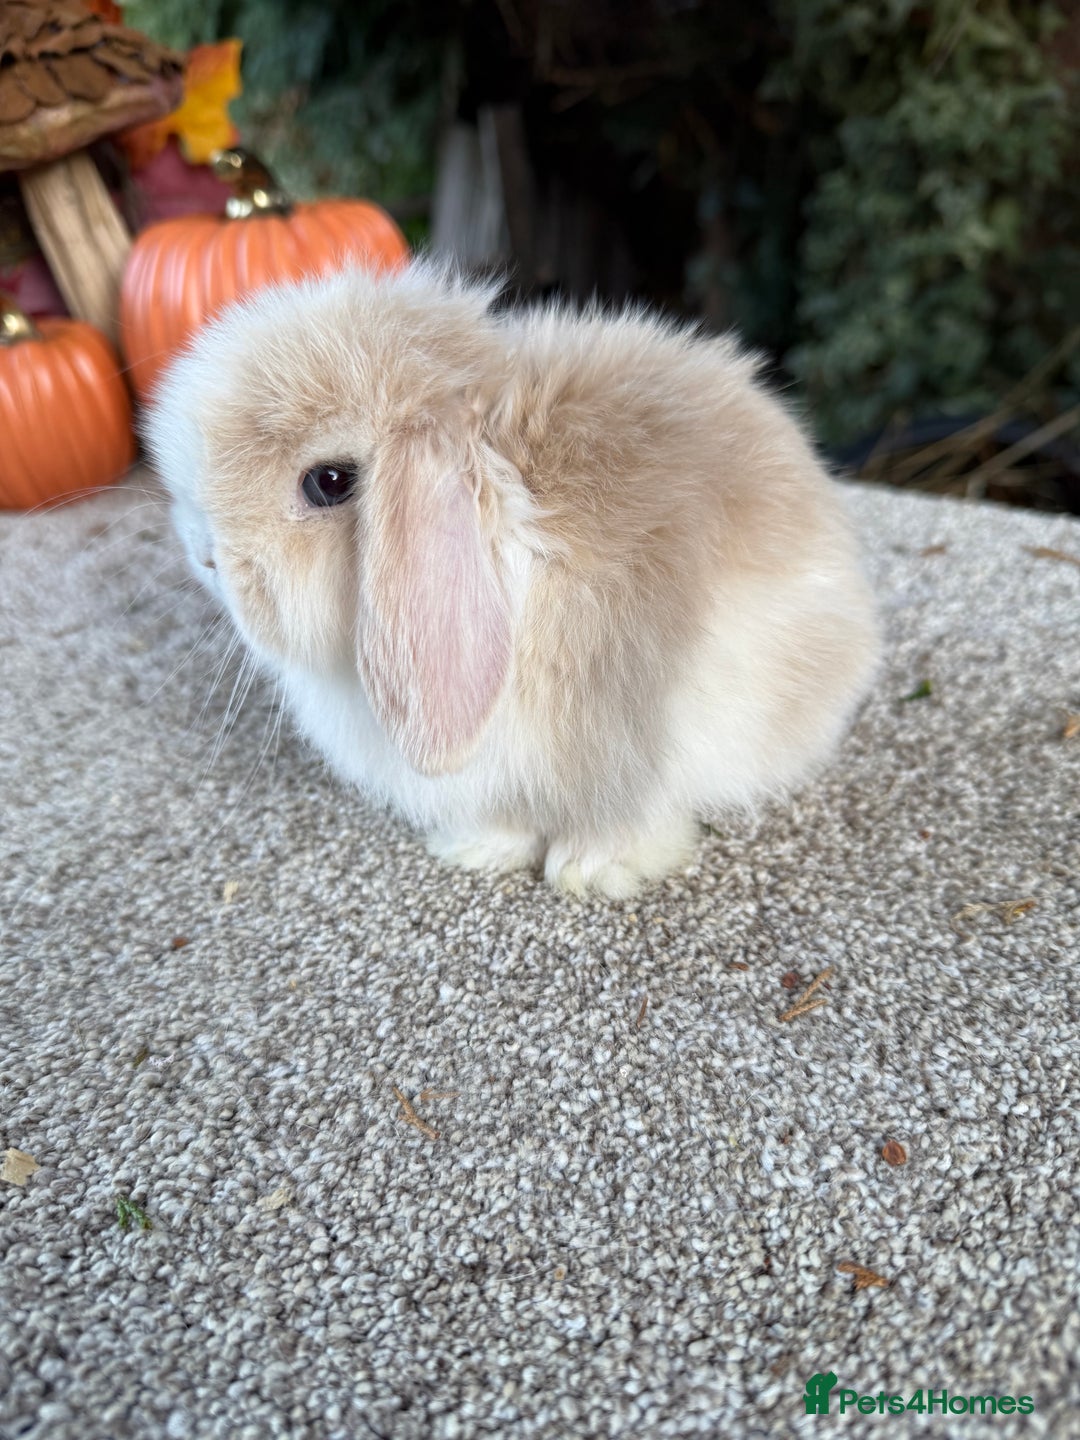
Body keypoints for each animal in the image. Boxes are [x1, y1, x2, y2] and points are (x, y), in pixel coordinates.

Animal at [145, 259, 880, 898]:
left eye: (328, 482)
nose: (203, 555)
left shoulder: (633, 732)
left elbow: (627, 813)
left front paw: (592, 870)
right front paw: (478, 850)